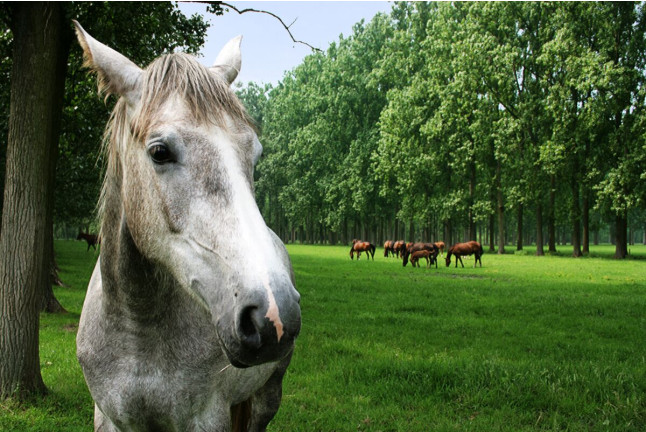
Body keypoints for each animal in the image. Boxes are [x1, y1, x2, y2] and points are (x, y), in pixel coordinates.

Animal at [73, 22, 301, 432]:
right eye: (159, 152)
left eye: (255, 155)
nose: (275, 315)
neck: (138, 332)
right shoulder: (109, 417)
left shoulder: (206, 418)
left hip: (267, 395)